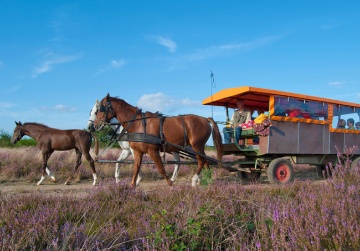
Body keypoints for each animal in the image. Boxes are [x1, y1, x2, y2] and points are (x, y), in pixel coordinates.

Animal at [93, 93, 222, 187]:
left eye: (100, 109)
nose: (94, 126)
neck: (138, 124)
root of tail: (205, 119)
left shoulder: (152, 151)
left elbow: (161, 168)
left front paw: (170, 184)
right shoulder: (137, 151)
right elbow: (136, 168)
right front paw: (132, 185)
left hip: (197, 146)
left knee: (201, 161)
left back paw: (195, 180)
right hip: (196, 147)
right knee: (205, 161)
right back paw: (206, 179)